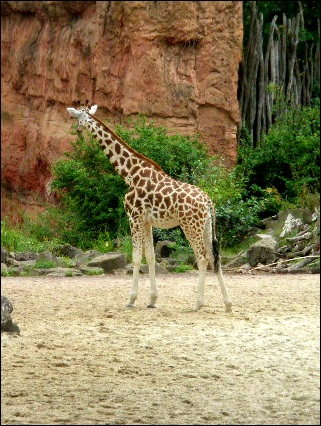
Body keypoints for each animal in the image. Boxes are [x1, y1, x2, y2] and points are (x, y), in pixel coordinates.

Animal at [67, 103, 230, 310]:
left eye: (77, 118)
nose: (77, 131)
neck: (130, 173)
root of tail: (208, 202)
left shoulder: (134, 217)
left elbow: (136, 256)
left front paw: (131, 299)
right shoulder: (147, 222)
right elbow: (151, 257)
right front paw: (152, 300)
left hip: (190, 226)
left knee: (202, 257)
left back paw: (198, 304)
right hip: (207, 227)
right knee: (215, 257)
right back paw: (228, 304)